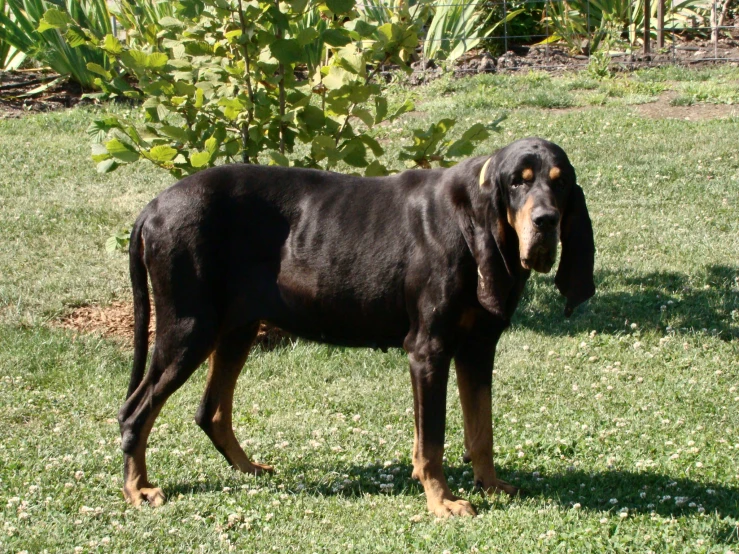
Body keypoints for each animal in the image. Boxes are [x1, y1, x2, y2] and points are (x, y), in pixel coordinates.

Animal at [118, 136, 600, 516]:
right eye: (518, 181)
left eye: (559, 181)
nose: (546, 222)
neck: (474, 218)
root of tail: (151, 208)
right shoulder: (428, 350)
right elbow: (432, 440)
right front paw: (441, 501)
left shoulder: (478, 347)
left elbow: (481, 428)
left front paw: (491, 484)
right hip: (189, 328)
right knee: (135, 412)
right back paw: (138, 489)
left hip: (237, 329)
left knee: (210, 412)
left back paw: (249, 468)